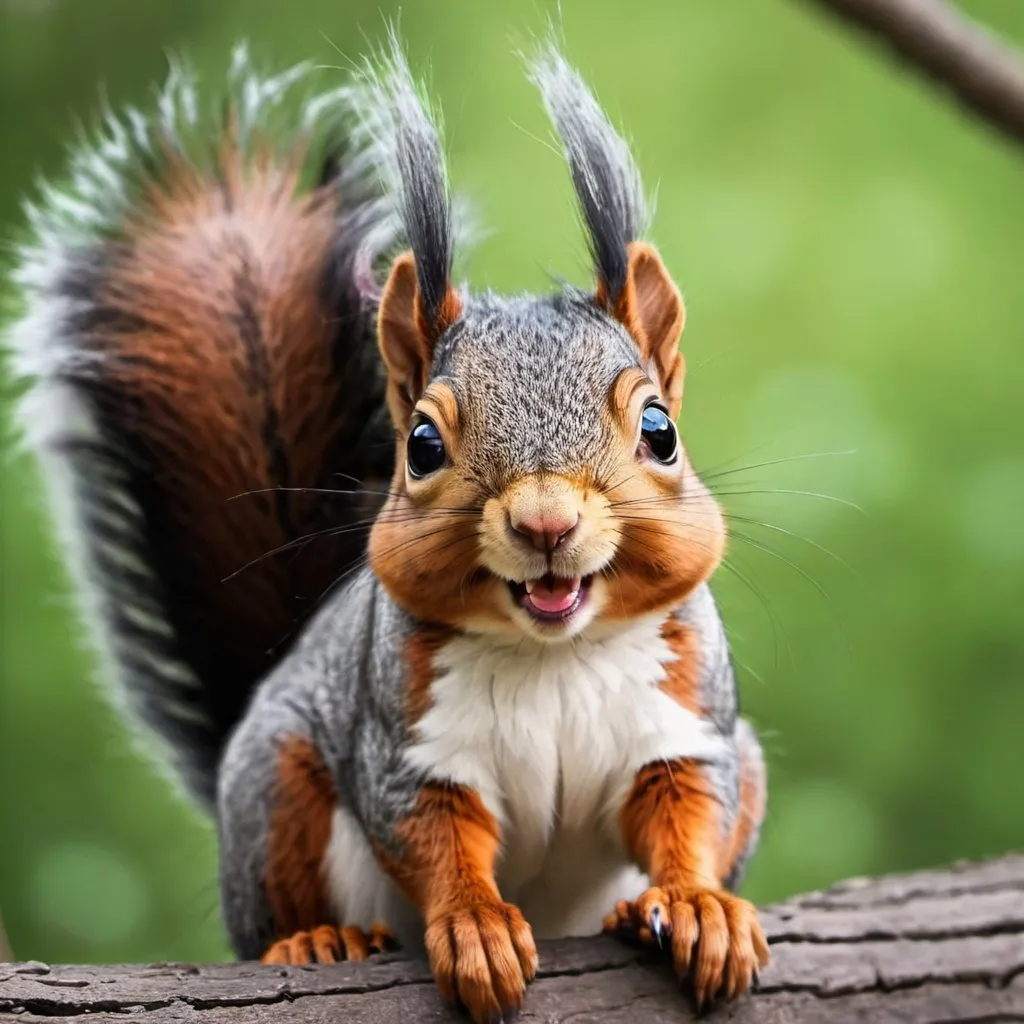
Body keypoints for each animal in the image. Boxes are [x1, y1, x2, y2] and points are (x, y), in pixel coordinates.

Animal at [6, 28, 770, 1019]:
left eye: (660, 431)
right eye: (422, 445)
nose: (547, 522)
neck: (553, 656)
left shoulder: (685, 728)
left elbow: (688, 815)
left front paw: (699, 905)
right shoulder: (409, 748)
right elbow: (437, 840)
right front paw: (477, 926)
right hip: (276, 782)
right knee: (277, 906)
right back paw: (314, 940)